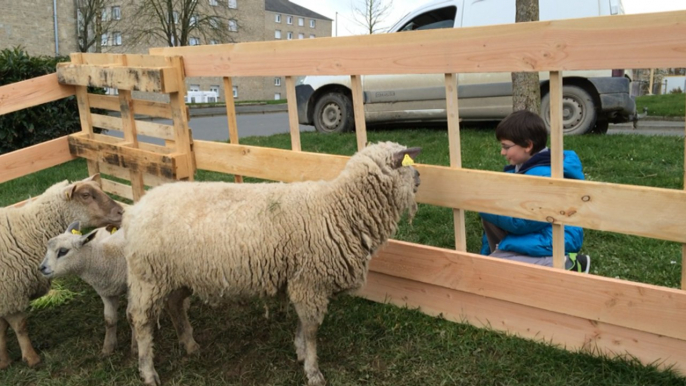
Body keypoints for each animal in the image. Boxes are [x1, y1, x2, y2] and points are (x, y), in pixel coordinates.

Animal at [0, 176, 122, 370]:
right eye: (85, 195)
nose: (121, 211)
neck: (26, 231)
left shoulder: (5, 295)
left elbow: (3, 327)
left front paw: (3, 360)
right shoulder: (10, 291)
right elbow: (20, 326)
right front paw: (31, 358)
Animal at [39, 222, 198, 358]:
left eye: (63, 251)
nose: (41, 268)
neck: (105, 259)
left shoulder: (132, 289)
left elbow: (131, 317)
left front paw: (135, 347)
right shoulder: (105, 292)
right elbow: (109, 320)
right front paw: (108, 347)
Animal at [125, 142, 422, 386]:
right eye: (407, 164)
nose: (420, 177)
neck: (339, 209)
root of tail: (135, 209)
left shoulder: (302, 282)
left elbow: (303, 326)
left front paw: (300, 352)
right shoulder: (310, 282)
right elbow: (312, 329)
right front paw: (313, 370)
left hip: (177, 274)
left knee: (175, 305)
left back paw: (189, 344)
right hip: (148, 278)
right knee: (141, 321)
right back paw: (148, 371)